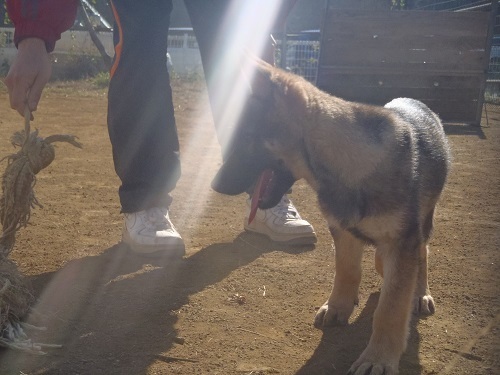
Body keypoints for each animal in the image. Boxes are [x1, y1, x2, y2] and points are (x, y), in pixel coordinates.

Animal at [209, 60, 452, 374]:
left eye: (246, 138)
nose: (214, 186)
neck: (347, 162)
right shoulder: (343, 231)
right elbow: (347, 271)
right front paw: (339, 307)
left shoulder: (402, 242)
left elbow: (390, 309)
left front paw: (379, 357)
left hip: (423, 222)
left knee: (423, 254)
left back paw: (420, 293)